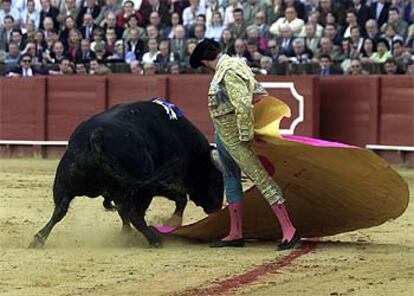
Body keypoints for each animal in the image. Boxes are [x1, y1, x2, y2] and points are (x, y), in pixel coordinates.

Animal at [29, 101, 223, 247]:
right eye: (217, 181)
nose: (217, 208)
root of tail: (97, 135)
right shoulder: (165, 181)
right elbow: (181, 199)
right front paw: (171, 223)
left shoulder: (119, 191)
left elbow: (123, 212)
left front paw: (126, 234)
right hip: (143, 188)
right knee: (137, 215)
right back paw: (155, 240)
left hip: (65, 182)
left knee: (59, 210)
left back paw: (38, 239)